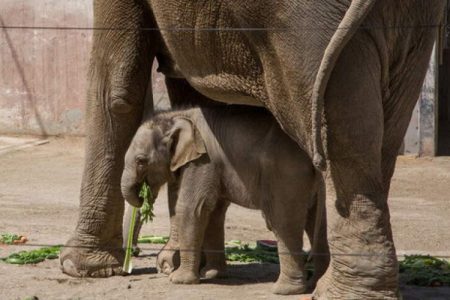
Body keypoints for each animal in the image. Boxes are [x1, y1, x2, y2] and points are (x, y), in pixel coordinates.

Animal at [121, 106, 328, 296]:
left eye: (141, 161)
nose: (143, 195)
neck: (176, 115)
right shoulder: (214, 167)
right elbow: (213, 212)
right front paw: (211, 274)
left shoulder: (203, 161)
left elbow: (192, 208)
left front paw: (178, 280)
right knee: (318, 225)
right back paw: (315, 284)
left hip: (285, 176)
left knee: (282, 222)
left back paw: (284, 290)